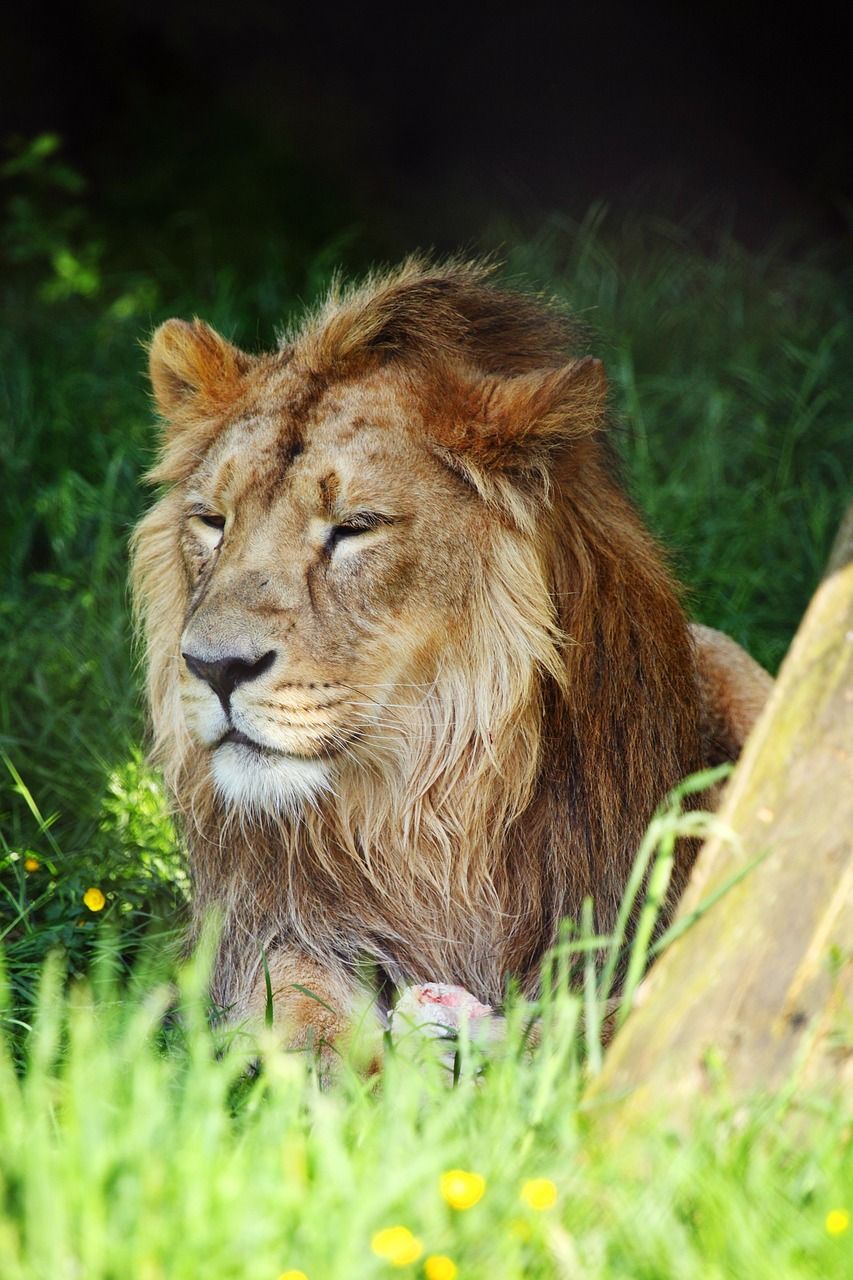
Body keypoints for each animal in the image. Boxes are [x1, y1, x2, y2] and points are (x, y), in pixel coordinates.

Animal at [128, 254, 768, 1054]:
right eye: (213, 521)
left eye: (355, 526)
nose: (214, 667)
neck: (427, 813)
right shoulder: (264, 928)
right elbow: (300, 1007)